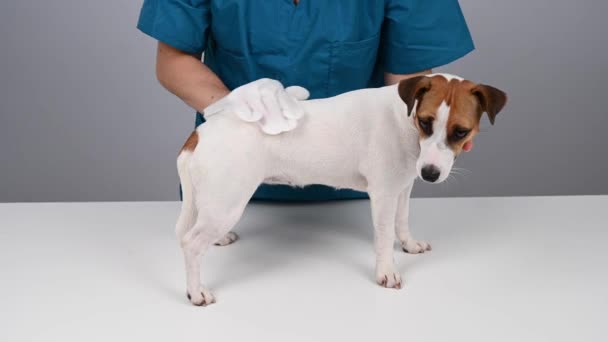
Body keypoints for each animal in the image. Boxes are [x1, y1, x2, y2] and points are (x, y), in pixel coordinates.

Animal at [177, 73, 508, 306]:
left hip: (216, 203)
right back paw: (196, 292)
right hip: (228, 203)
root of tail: (202, 132)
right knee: (191, 244)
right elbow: (384, 238)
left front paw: (409, 244)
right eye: (426, 122)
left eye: (460, 131)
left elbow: (402, 222)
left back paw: (218, 240)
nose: (429, 173)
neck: (405, 119)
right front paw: (386, 271)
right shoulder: (384, 194)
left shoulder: (402, 188)